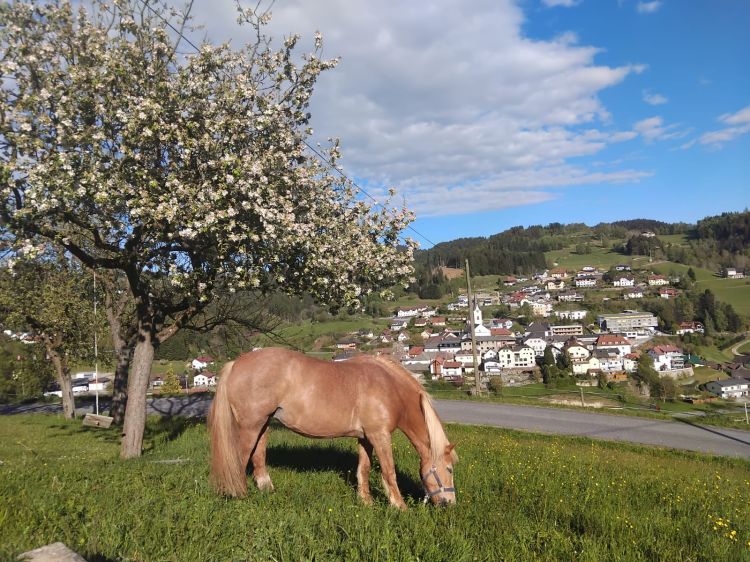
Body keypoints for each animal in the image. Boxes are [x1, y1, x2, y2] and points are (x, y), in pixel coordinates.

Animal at [209, 346, 462, 508]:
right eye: (449, 470)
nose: (450, 504)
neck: (390, 387)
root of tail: (236, 363)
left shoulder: (365, 438)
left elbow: (364, 469)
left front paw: (366, 502)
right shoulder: (380, 436)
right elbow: (389, 471)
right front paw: (399, 506)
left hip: (263, 423)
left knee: (258, 455)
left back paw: (266, 488)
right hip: (250, 426)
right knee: (240, 459)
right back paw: (239, 495)